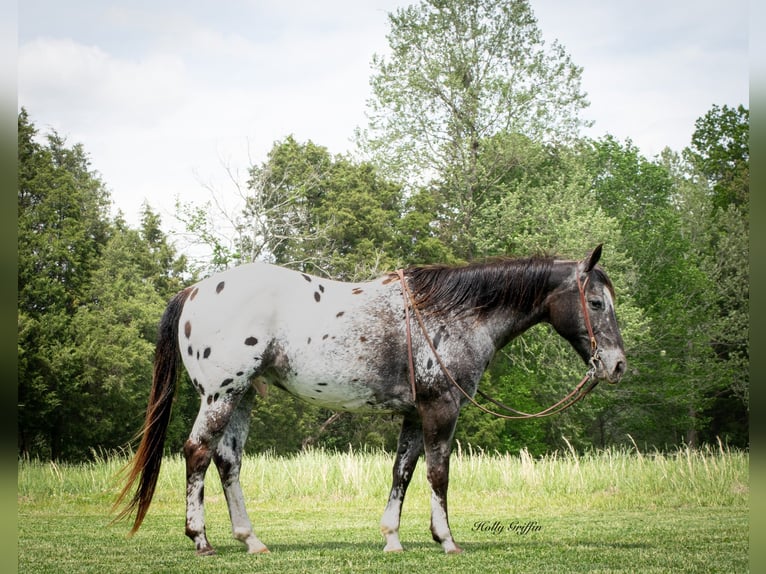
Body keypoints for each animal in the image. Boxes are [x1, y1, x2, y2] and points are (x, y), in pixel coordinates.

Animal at [115, 245, 632, 556]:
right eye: (597, 303)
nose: (616, 365)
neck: (453, 313)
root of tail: (194, 290)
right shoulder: (441, 408)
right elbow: (438, 473)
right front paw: (447, 540)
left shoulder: (414, 414)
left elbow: (402, 471)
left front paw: (392, 539)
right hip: (221, 395)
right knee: (197, 453)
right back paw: (200, 539)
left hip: (240, 398)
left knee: (228, 462)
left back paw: (252, 540)